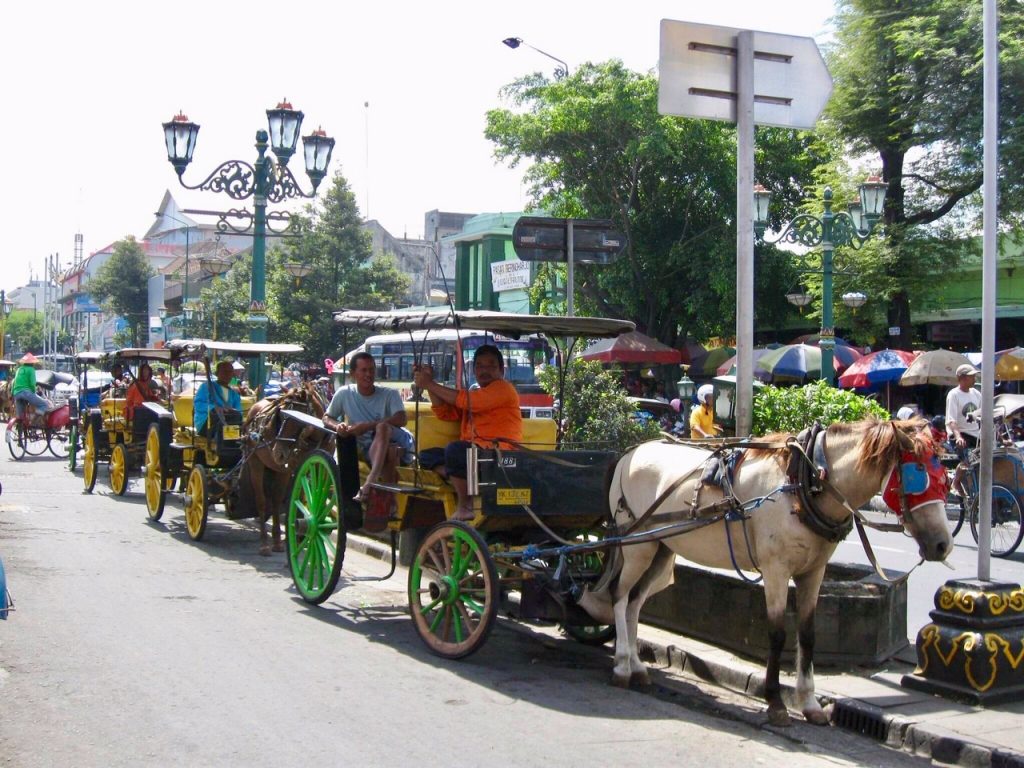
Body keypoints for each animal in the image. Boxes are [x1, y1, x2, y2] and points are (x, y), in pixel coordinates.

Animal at [241, 387, 333, 557]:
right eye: (281, 415)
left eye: (297, 418)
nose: (277, 452)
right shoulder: (293, 466)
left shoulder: (318, 467)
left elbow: (308, 497)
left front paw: (301, 535)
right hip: (257, 462)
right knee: (262, 500)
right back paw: (265, 543)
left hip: (276, 469)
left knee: (275, 500)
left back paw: (277, 540)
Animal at [581, 421, 954, 729]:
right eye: (918, 474)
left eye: (945, 481)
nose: (943, 544)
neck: (806, 481)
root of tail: (630, 453)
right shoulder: (776, 570)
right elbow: (776, 634)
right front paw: (775, 702)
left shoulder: (813, 572)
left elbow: (808, 634)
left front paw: (810, 703)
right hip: (636, 545)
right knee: (619, 596)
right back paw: (621, 667)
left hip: (661, 549)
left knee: (634, 603)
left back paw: (637, 668)